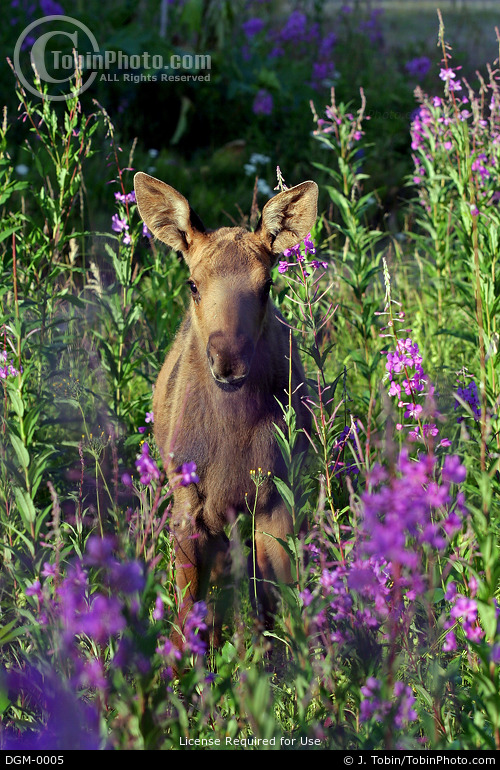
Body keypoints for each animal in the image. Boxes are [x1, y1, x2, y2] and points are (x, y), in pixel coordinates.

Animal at [134, 172, 318, 652]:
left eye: (267, 285)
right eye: (193, 284)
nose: (229, 362)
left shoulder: (274, 502)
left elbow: (288, 612)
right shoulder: (188, 508)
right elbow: (186, 621)